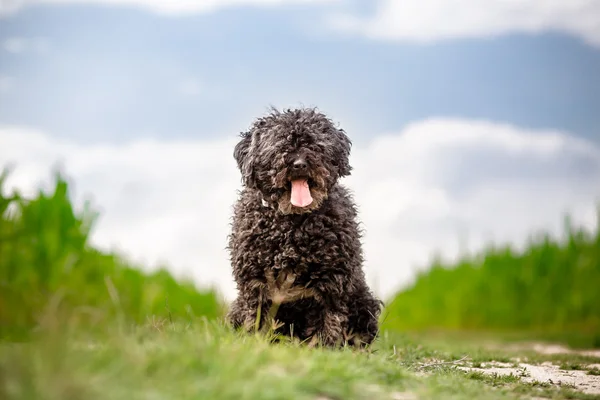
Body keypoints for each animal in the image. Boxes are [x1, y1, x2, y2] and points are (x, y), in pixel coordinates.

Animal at [225, 106, 380, 346]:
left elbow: (328, 320)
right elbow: (257, 319)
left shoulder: (331, 282)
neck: (292, 224)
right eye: (279, 144)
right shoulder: (256, 282)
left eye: (314, 144)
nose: (298, 164)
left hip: (365, 303)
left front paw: (324, 348)